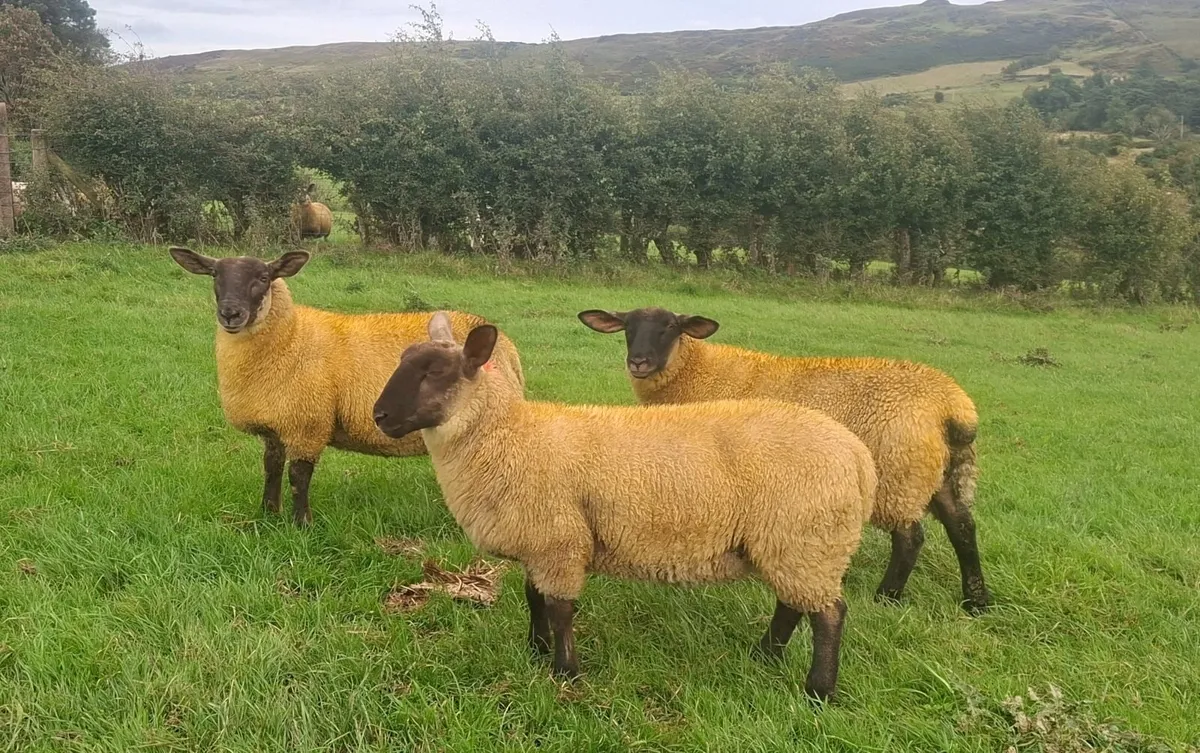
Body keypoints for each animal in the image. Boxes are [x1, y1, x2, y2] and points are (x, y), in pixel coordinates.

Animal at [168, 247, 525, 526]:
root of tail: (508, 348)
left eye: (264, 278)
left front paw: (301, 524)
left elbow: (298, 477)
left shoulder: (307, 424)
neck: (291, 337)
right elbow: (271, 469)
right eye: (215, 275)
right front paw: (268, 514)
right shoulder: (276, 426)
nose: (230, 313)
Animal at [371, 312, 877, 702]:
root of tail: (858, 457)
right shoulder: (541, 539)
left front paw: (565, 673)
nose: (379, 416)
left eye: (436, 372)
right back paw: (765, 655)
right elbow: (534, 598)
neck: (510, 436)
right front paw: (535, 651)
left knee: (829, 614)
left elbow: (560, 608)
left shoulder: (558, 539)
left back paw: (818, 691)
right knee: (793, 604)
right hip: (793, 543)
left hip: (806, 537)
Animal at [578, 307, 989, 614]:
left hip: (898, 471)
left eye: (671, 327)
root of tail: (953, 405)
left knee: (910, 537)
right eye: (628, 327)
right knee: (962, 526)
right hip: (937, 471)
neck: (697, 371)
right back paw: (976, 601)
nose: (639, 362)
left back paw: (886, 597)